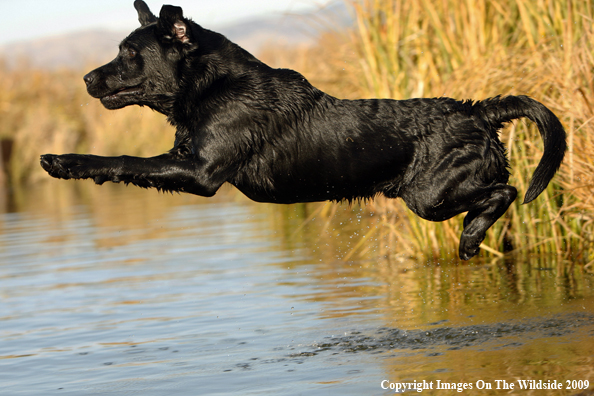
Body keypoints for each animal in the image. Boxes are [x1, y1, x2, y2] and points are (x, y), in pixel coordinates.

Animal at [38, 0, 564, 260]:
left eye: (129, 54)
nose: (86, 79)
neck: (212, 85)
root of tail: (479, 112)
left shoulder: (201, 173)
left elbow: (124, 160)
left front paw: (64, 162)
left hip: (430, 195)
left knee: (506, 191)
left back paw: (471, 239)